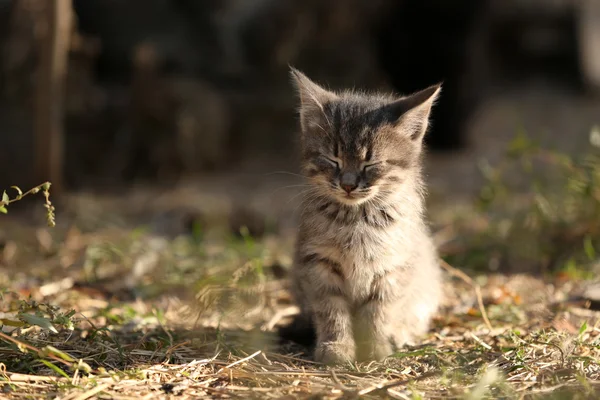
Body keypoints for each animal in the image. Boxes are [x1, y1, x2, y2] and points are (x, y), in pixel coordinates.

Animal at [286, 68, 446, 362]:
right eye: (333, 160)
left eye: (371, 164)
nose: (348, 184)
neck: (356, 218)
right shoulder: (317, 264)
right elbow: (331, 310)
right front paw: (336, 346)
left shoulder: (394, 267)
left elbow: (379, 311)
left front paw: (375, 345)